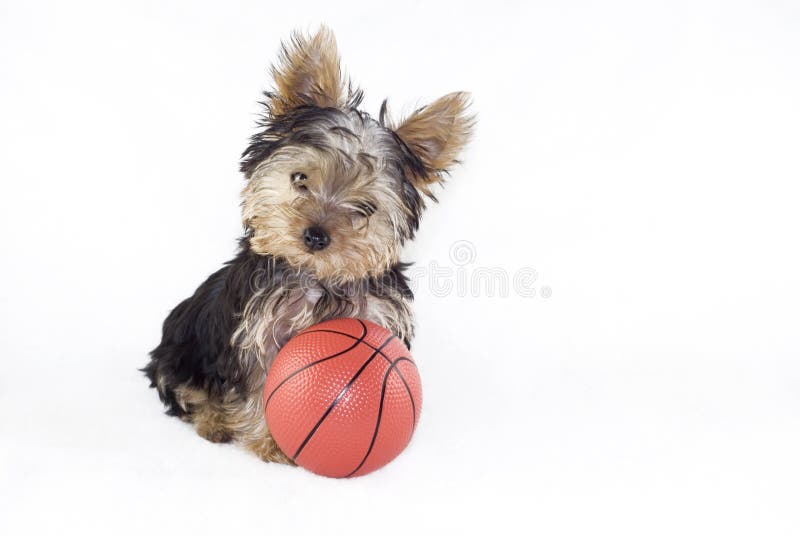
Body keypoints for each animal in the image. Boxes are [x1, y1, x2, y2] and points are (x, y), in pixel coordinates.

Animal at [143, 27, 472, 460]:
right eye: (300, 178)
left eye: (366, 208)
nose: (315, 235)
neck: (320, 278)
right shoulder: (257, 330)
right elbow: (259, 380)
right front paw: (270, 441)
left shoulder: (378, 317)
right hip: (181, 349)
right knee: (187, 389)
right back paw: (213, 422)